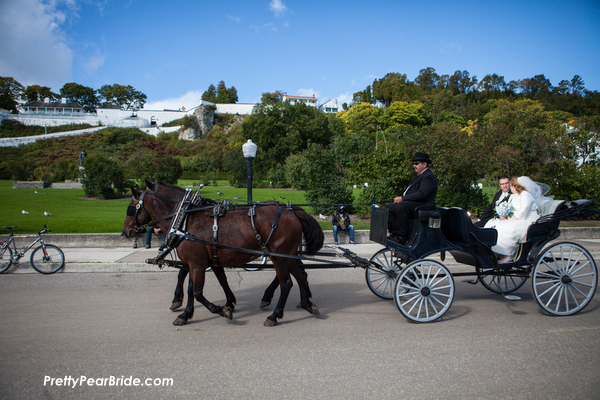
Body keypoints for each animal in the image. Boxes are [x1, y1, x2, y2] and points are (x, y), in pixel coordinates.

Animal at [121, 186, 324, 326]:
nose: (125, 231)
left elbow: (197, 292)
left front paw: (221, 309)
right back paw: (306, 304)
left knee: (287, 283)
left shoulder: (197, 264)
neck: (184, 220)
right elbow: (196, 287)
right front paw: (186, 313)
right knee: (301, 276)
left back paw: (274, 315)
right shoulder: (199, 262)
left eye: (131, 207)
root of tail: (292, 211)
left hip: (279, 255)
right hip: (287, 254)